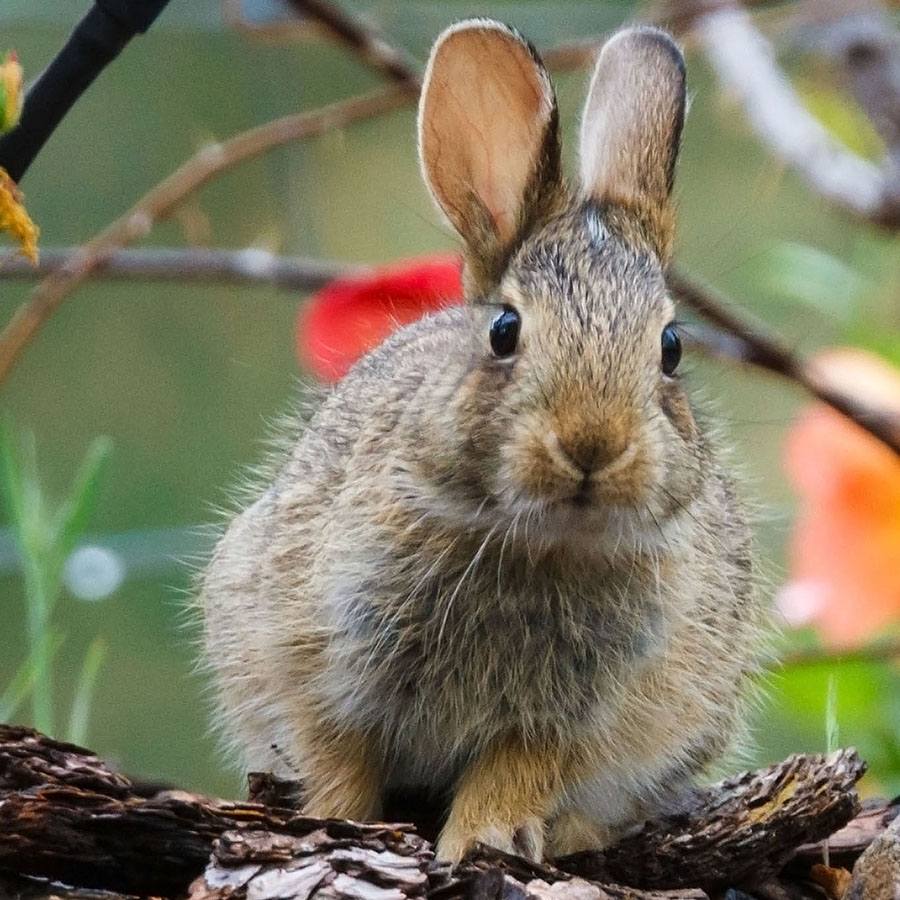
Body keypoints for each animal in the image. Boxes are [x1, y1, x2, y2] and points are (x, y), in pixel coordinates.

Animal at [200, 19, 768, 864]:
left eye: (670, 348)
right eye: (505, 330)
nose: (592, 445)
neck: (533, 538)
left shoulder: (566, 714)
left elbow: (516, 772)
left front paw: (483, 843)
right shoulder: (318, 652)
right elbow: (337, 755)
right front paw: (335, 822)